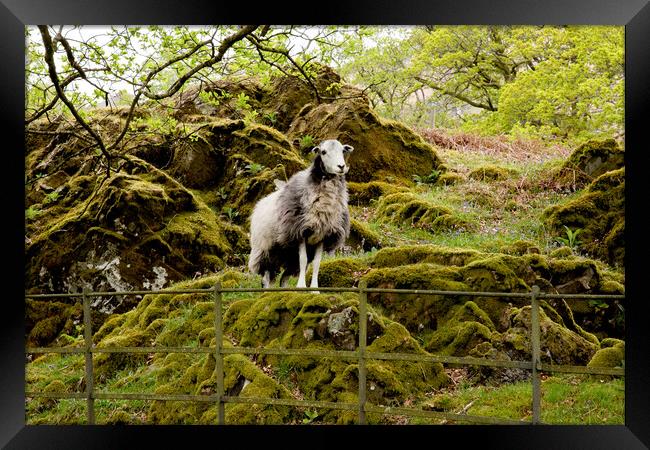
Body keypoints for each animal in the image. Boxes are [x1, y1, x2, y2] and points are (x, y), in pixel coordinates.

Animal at [248, 139, 352, 290]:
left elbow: (317, 263)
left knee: (283, 278)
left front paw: (314, 289)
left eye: (343, 151)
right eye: (323, 152)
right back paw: (267, 291)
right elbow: (303, 259)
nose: (341, 166)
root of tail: (259, 204)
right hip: (265, 249)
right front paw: (302, 286)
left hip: (288, 256)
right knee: (266, 275)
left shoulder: (322, 236)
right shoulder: (300, 232)